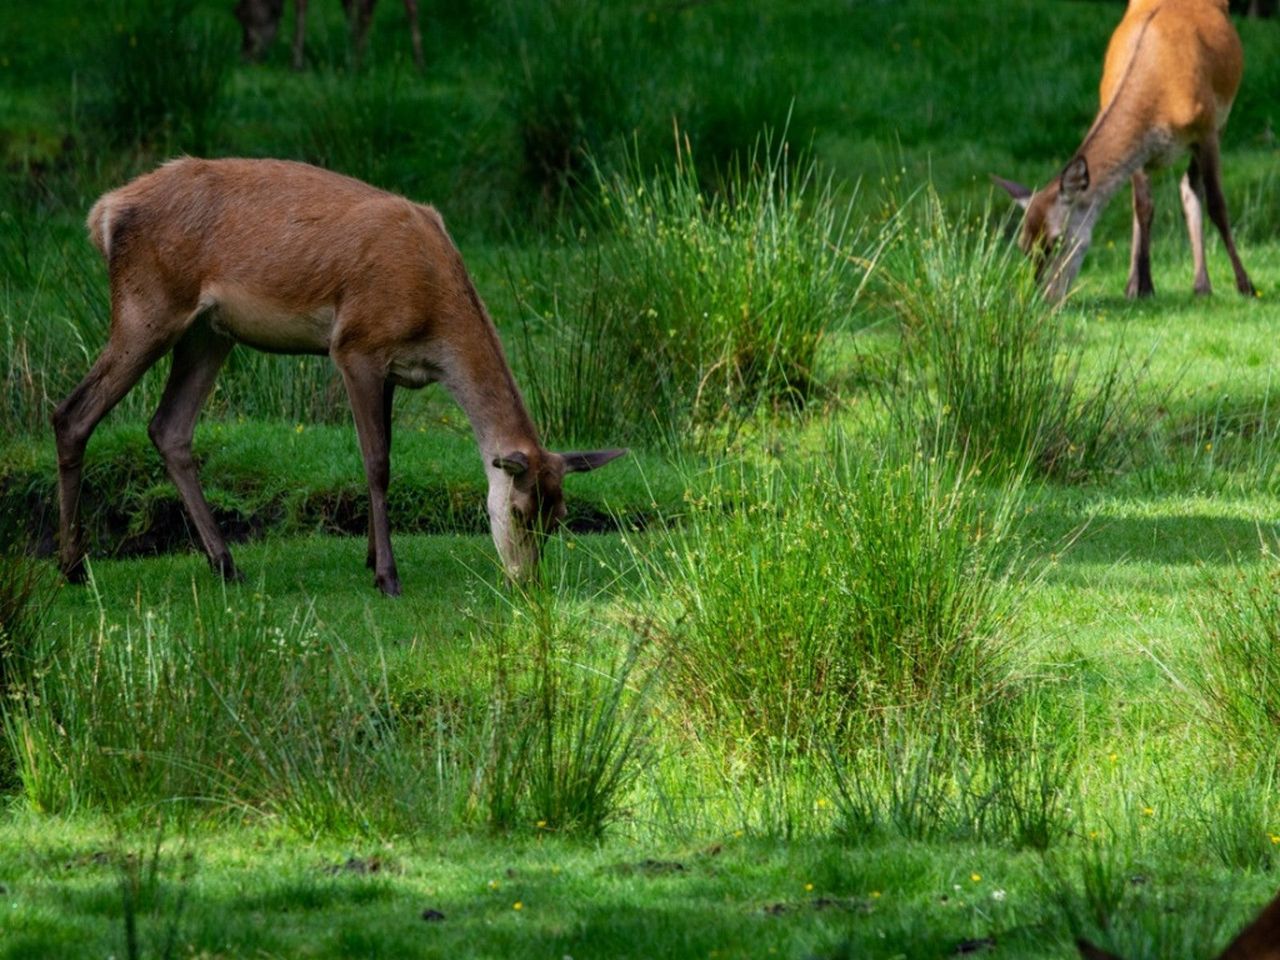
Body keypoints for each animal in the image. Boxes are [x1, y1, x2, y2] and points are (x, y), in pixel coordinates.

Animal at [55, 158, 624, 593]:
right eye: (522, 511)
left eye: (560, 517)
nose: (526, 583)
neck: (432, 318)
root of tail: (103, 212)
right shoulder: (355, 346)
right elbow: (377, 463)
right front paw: (387, 576)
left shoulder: (393, 369)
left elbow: (387, 452)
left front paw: (372, 556)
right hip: (148, 307)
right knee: (72, 413)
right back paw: (73, 566)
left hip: (208, 332)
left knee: (169, 427)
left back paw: (225, 564)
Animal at [235, 0, 424, 70]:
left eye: (241, 15)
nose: (245, 58)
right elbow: (349, 8)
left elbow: (301, 5)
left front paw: (296, 64)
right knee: (411, 6)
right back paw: (419, 64)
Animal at [993, 0, 1254, 300]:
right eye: (1022, 246)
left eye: (1057, 240)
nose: (1041, 297)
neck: (1161, 102)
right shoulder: (1142, 151)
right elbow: (1143, 207)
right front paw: (1142, 286)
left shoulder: (1207, 128)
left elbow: (1217, 205)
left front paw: (1245, 284)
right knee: (1172, 191)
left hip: (1221, 121)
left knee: (1191, 186)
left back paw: (1202, 284)